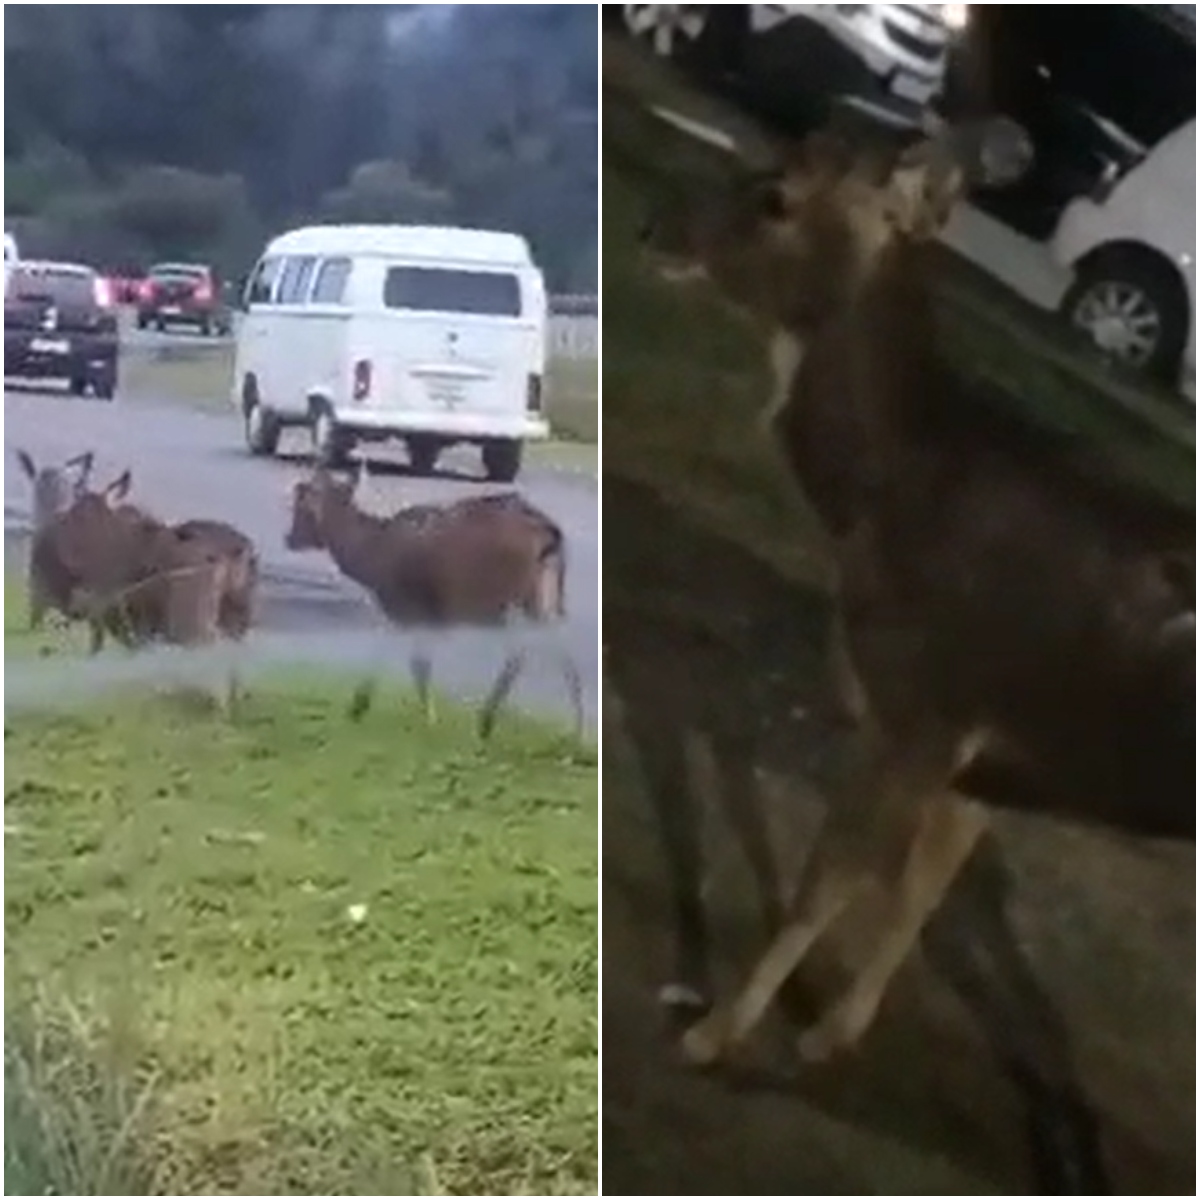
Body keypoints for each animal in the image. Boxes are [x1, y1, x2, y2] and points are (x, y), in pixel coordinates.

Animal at [280, 460, 580, 734]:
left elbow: (414, 663)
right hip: (546, 594)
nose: (289, 538)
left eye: (302, 506)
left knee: (519, 652)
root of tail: (550, 535)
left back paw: (486, 721)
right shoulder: (416, 613)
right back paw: (575, 729)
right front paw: (360, 707)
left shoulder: (408, 606)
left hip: (505, 598)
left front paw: (426, 717)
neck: (372, 557)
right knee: (561, 648)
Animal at [638, 114, 1190, 1070]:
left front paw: (714, 1031)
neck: (887, 494)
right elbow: (916, 892)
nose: (658, 227)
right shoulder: (979, 745)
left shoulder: (927, 710)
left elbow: (831, 882)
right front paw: (832, 1031)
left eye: (778, 195)